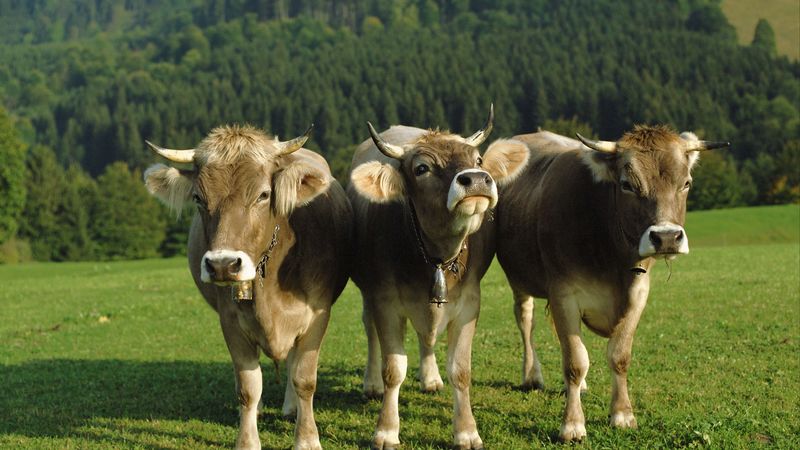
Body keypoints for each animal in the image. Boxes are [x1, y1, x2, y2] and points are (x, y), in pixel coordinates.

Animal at [143, 125, 353, 450]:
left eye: (264, 195)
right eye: (198, 198)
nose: (223, 264)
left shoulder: (317, 315)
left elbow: (304, 379)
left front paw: (306, 438)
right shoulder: (230, 322)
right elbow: (248, 387)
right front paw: (247, 440)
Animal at [348, 107, 530, 449]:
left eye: (478, 160)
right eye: (422, 168)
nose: (477, 180)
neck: (435, 256)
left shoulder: (469, 302)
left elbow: (460, 370)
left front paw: (467, 431)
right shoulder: (385, 300)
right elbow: (393, 369)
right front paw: (386, 430)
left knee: (426, 336)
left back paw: (431, 378)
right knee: (369, 331)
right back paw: (372, 383)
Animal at [495, 125, 729, 441]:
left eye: (686, 183)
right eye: (627, 184)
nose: (667, 237)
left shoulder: (639, 293)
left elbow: (619, 356)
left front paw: (622, 414)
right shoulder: (564, 295)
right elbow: (575, 361)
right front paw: (572, 425)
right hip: (520, 280)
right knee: (526, 321)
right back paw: (532, 375)